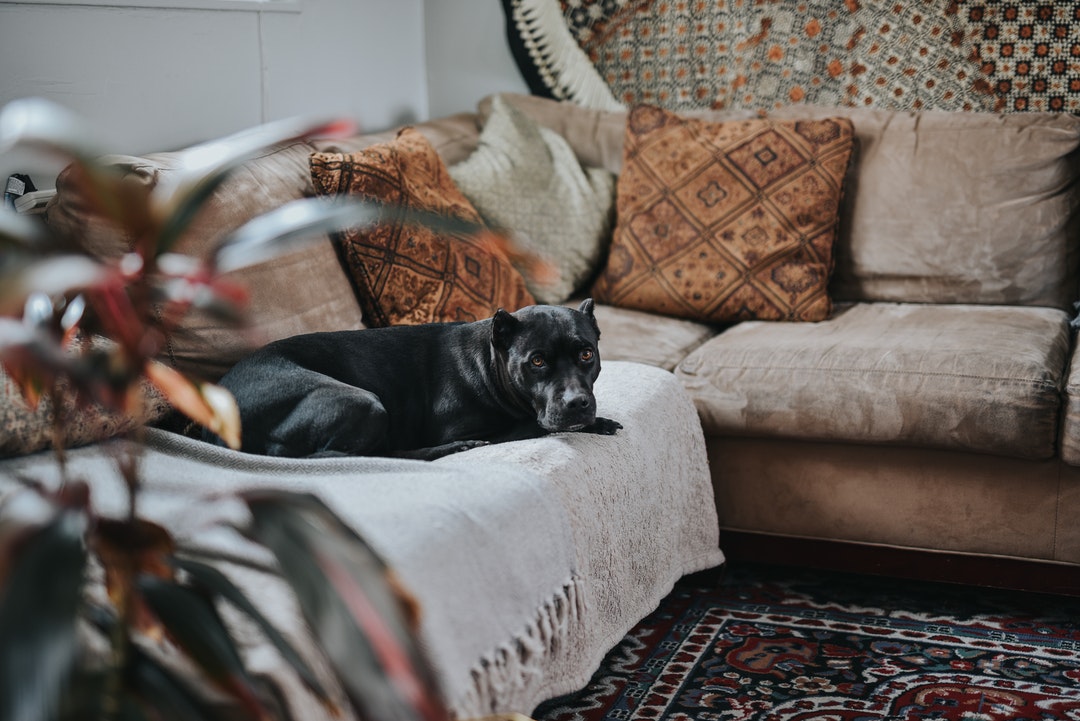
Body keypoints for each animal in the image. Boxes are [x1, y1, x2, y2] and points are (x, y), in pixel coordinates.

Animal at [206, 300, 622, 459]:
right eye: (536, 361)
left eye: (586, 354)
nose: (577, 403)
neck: (489, 363)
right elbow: (533, 426)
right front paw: (596, 422)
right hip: (362, 401)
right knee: (358, 456)